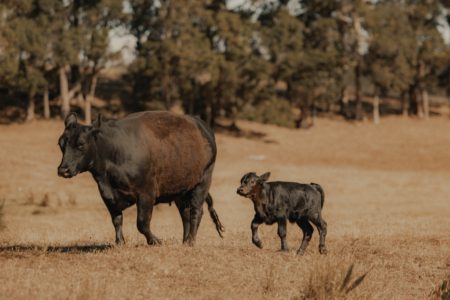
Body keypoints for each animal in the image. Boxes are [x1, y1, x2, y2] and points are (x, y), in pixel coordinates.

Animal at [57, 111, 223, 245]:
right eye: (61, 144)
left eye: (81, 144)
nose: (63, 170)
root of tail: (203, 127)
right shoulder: (107, 196)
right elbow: (117, 219)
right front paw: (120, 242)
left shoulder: (146, 193)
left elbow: (142, 223)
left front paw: (155, 241)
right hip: (181, 190)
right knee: (185, 214)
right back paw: (185, 241)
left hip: (203, 182)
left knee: (196, 211)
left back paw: (190, 241)